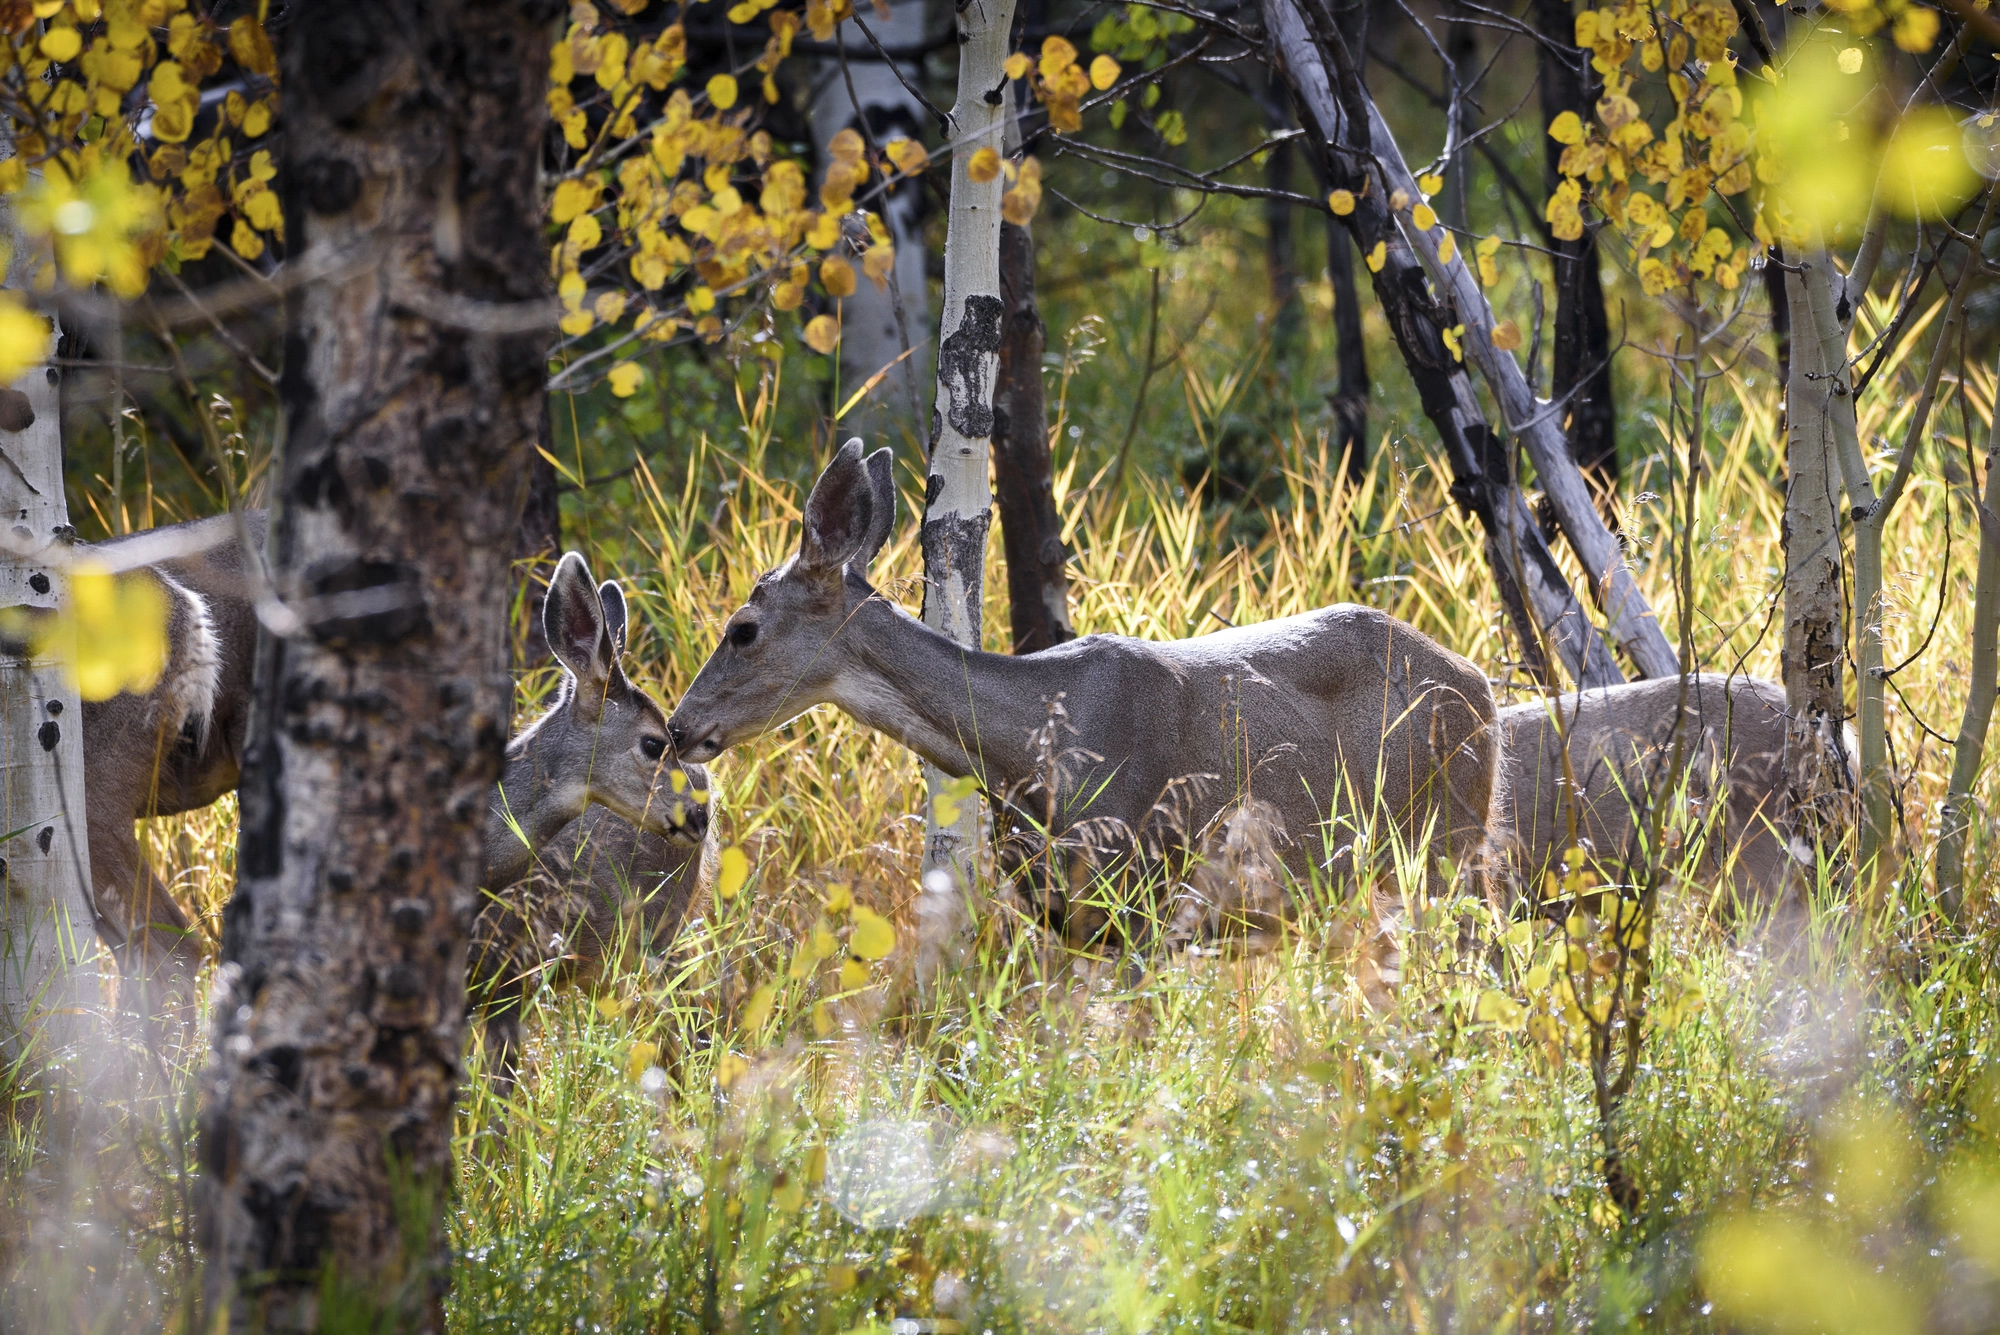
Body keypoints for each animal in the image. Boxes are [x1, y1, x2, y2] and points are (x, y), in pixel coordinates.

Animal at [666, 439, 1499, 947]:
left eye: (743, 629)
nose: (678, 726)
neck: (1024, 755)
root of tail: (1483, 683)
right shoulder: (1066, 917)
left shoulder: (1142, 892)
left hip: (1448, 845)